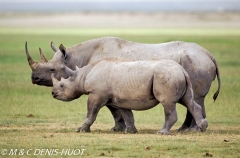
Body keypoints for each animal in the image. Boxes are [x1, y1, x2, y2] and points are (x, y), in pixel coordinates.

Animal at [51, 58, 207, 135]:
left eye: (62, 86)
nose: (53, 93)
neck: (82, 77)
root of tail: (182, 69)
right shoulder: (120, 100)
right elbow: (127, 115)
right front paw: (131, 131)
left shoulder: (96, 94)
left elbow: (91, 113)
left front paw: (81, 130)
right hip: (177, 75)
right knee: (188, 101)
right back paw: (202, 127)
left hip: (166, 76)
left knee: (168, 103)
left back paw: (162, 133)